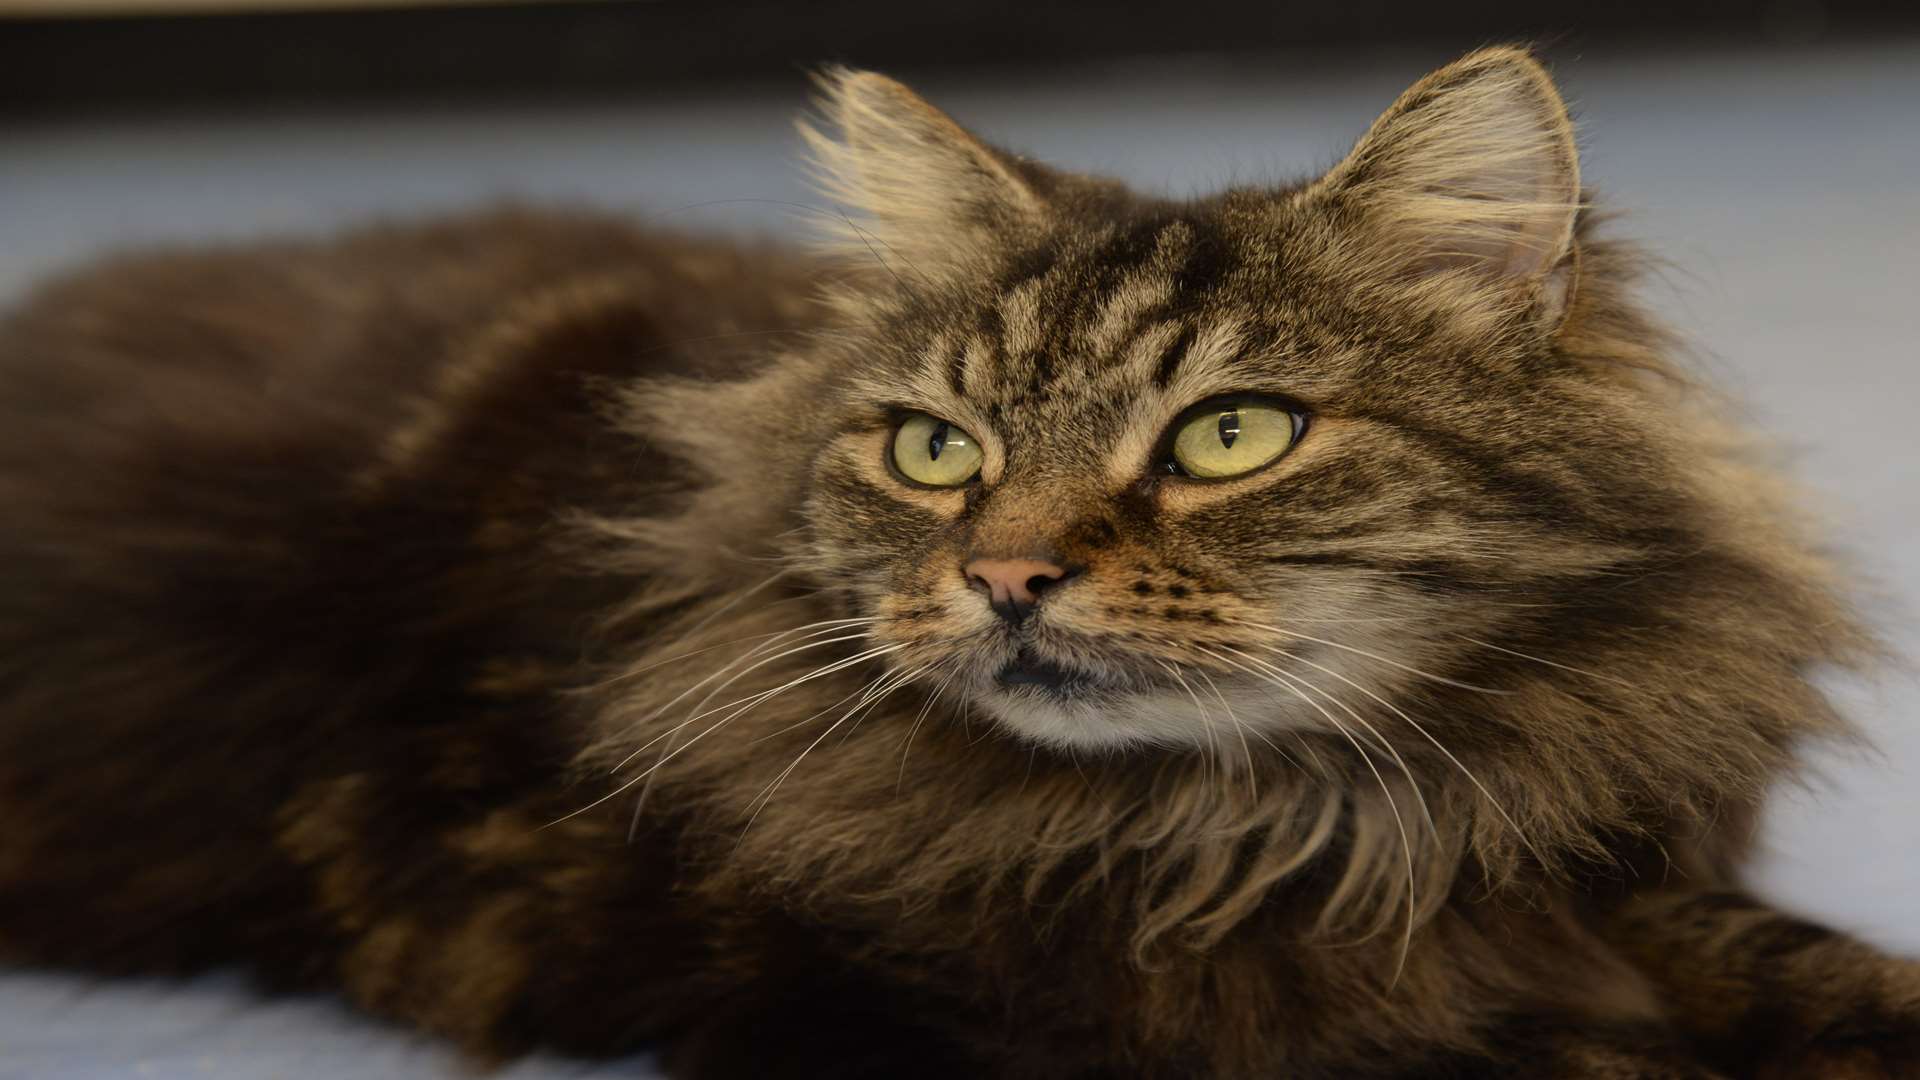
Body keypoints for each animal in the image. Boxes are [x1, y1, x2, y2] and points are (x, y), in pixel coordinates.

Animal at [3, 39, 1920, 1068]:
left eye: (1232, 436)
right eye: (938, 454)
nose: (1004, 575)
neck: (1264, 824)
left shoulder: (1548, 868)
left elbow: (1794, 963)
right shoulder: (974, 999)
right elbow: (1527, 1045)